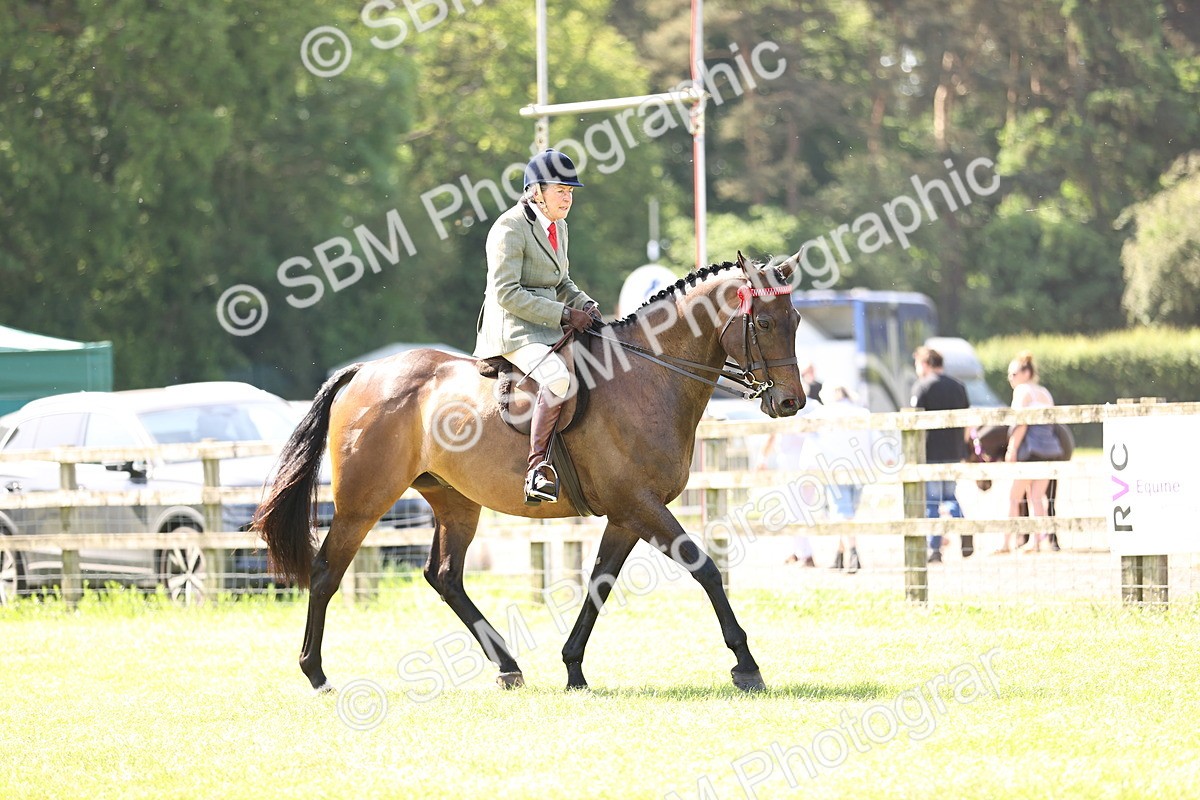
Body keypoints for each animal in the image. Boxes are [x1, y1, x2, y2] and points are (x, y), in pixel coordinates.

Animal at [253, 252, 807, 693]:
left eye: (796, 319)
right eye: (764, 323)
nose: (790, 402)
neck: (648, 375)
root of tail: (362, 373)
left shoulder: (626, 515)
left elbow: (599, 584)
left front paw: (574, 668)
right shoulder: (640, 506)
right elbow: (705, 569)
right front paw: (747, 665)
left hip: (455, 501)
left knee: (445, 577)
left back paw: (508, 666)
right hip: (364, 502)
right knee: (326, 573)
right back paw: (316, 673)